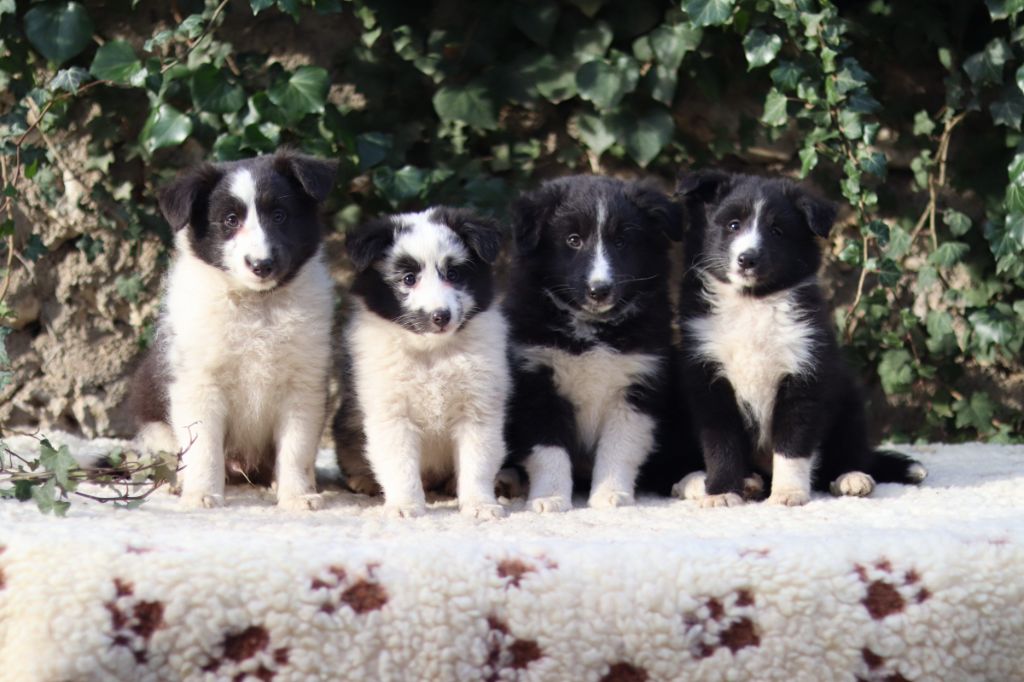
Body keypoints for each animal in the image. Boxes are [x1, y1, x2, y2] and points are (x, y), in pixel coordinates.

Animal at [130, 150, 337, 509]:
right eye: (229, 220)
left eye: (280, 215)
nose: (262, 265)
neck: (257, 305)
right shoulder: (199, 384)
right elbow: (204, 448)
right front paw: (201, 494)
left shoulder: (303, 386)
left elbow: (296, 450)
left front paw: (297, 497)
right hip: (153, 421)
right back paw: (178, 484)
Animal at [333, 205, 509, 516]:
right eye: (408, 278)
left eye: (453, 273)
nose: (441, 316)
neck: (431, 351)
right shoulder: (391, 412)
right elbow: (399, 465)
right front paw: (405, 506)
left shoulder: (478, 407)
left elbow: (478, 462)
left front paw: (480, 504)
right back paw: (364, 481)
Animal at [501, 175, 700, 509]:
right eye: (573, 240)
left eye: (621, 242)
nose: (599, 290)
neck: (592, 329)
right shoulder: (536, 382)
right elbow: (548, 451)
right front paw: (550, 497)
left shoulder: (637, 385)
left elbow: (620, 446)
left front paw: (610, 494)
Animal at [671, 167, 929, 503]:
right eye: (732, 225)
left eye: (777, 231)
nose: (747, 259)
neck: (752, 303)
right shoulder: (708, 379)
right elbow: (721, 444)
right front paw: (723, 492)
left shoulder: (804, 373)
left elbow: (792, 445)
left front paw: (788, 493)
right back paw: (721, 482)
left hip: (848, 397)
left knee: (849, 449)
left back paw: (851, 477)